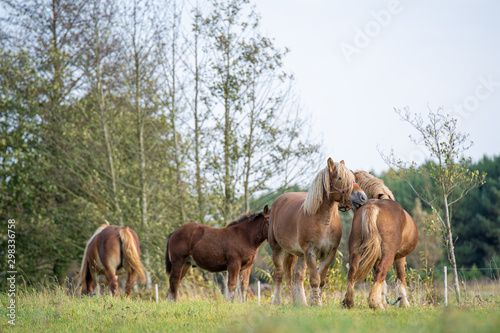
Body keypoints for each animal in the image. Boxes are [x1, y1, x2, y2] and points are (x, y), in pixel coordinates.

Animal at [270, 157, 368, 304]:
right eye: (340, 178)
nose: (363, 197)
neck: (324, 222)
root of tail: (279, 201)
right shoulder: (310, 252)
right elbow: (315, 279)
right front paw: (315, 303)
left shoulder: (329, 253)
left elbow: (321, 279)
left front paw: (317, 301)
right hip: (277, 248)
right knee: (279, 274)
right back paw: (277, 301)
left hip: (299, 254)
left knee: (298, 275)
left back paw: (301, 303)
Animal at [342, 171, 420, 308]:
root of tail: (373, 207)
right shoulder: (400, 257)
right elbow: (400, 278)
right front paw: (404, 303)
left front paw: (383, 300)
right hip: (389, 253)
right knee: (382, 271)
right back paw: (375, 303)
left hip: (355, 248)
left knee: (352, 271)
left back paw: (349, 302)